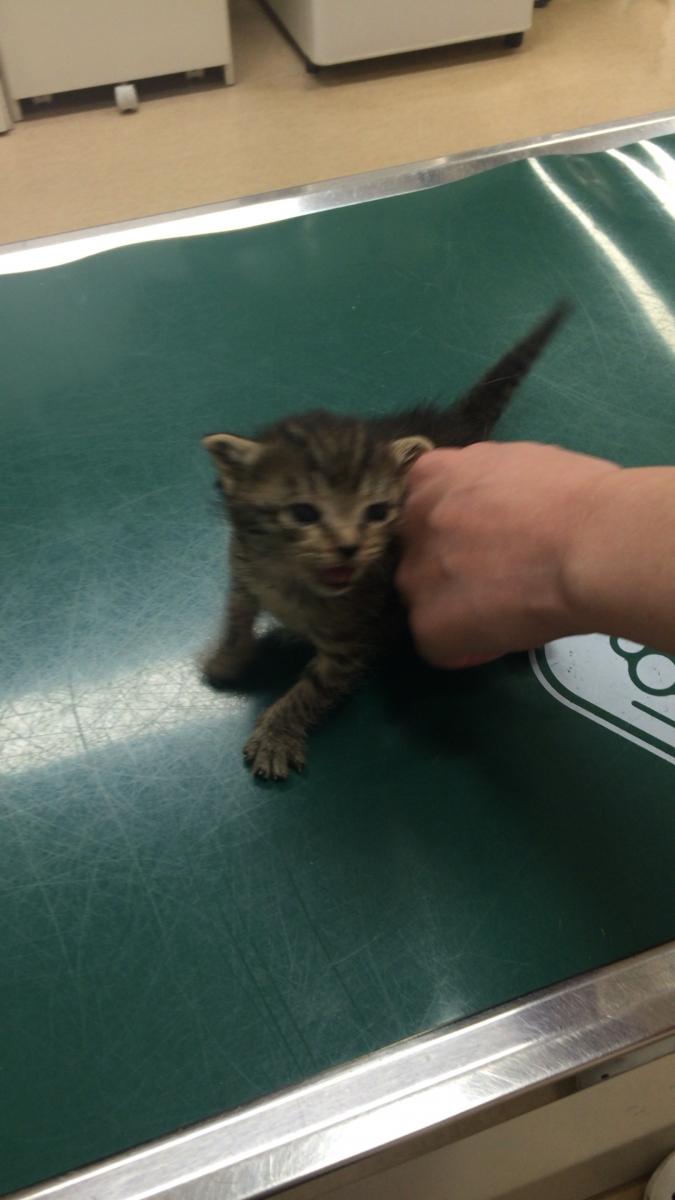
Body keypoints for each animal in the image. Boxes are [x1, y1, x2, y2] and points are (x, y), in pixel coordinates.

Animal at [203, 302, 569, 779]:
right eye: (304, 514)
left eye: (376, 513)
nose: (348, 546)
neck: (290, 581)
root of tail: (458, 422)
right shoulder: (244, 569)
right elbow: (236, 619)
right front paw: (227, 660)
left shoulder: (353, 640)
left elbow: (313, 690)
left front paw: (277, 735)